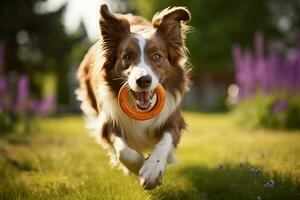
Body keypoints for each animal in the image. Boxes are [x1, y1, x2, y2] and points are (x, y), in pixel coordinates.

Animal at [76, 3, 191, 190]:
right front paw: (138, 166)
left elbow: (164, 142)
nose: (143, 80)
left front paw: (152, 170)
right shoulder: (107, 121)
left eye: (157, 56)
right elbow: (124, 151)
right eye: (127, 57)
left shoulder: (173, 120)